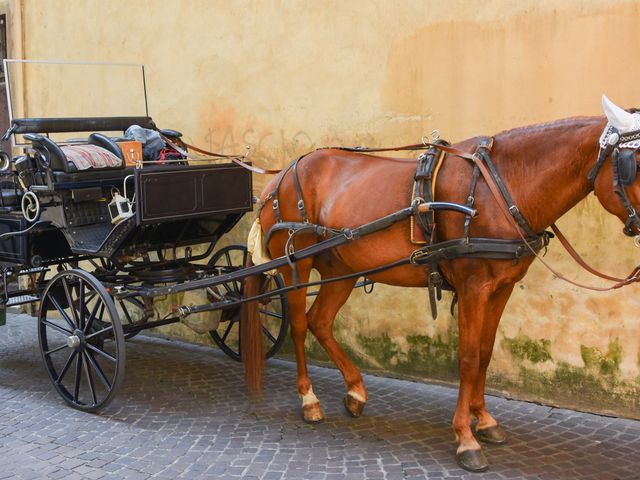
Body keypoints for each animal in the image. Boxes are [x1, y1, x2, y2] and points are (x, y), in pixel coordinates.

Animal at [240, 94, 640, 472]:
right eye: (633, 165)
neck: (501, 187)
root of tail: (278, 177)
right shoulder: (473, 287)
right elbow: (467, 357)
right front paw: (465, 437)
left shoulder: (502, 288)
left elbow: (485, 353)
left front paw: (485, 420)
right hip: (295, 264)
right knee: (300, 326)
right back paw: (309, 400)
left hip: (342, 266)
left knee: (321, 321)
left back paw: (355, 392)